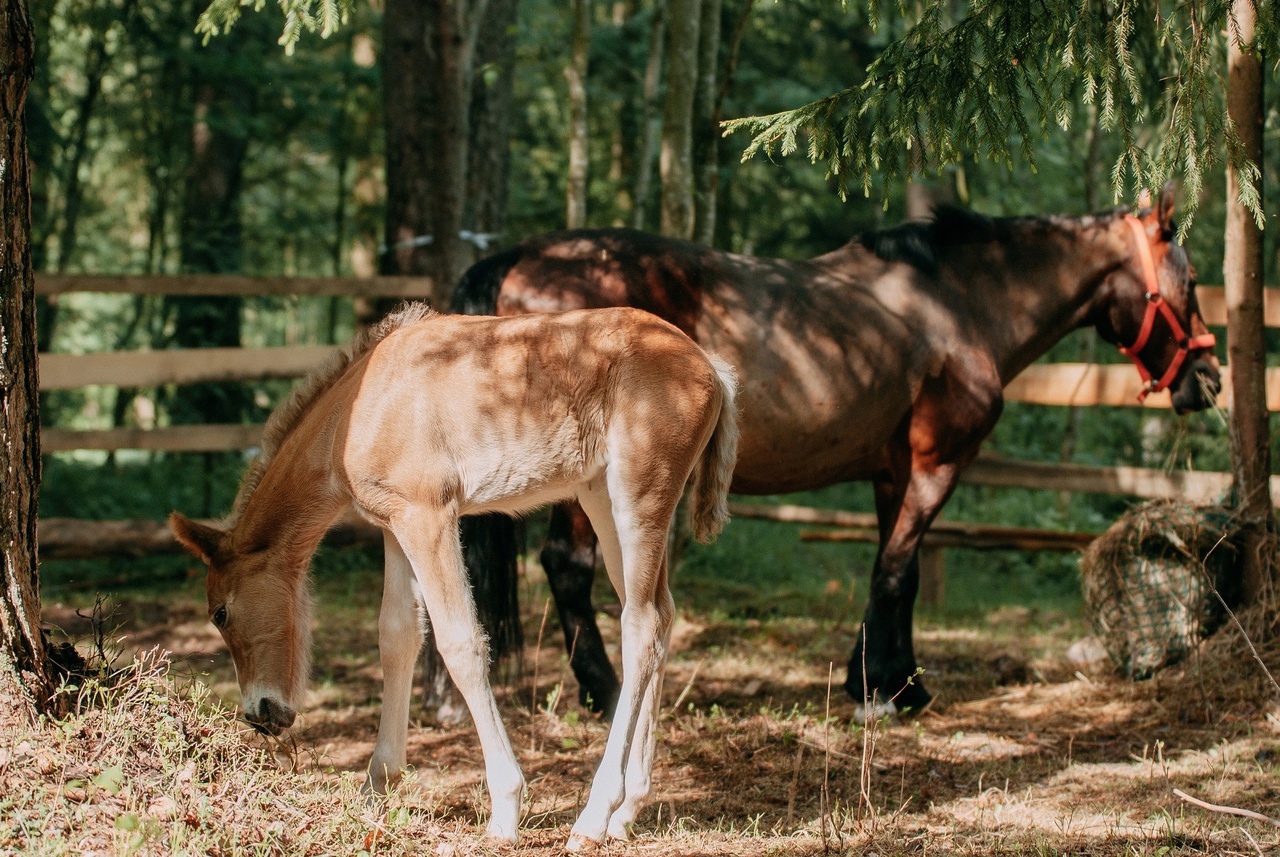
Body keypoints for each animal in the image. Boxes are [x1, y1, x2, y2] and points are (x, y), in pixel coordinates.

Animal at [167, 305, 742, 849]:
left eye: (221, 613)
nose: (260, 714)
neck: (356, 411)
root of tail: (708, 365)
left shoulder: (430, 516)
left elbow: (460, 643)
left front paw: (506, 809)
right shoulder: (394, 525)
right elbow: (398, 638)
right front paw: (376, 788)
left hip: (639, 497)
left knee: (641, 625)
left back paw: (594, 818)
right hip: (600, 499)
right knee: (660, 616)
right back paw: (626, 813)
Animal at [448, 184, 1218, 721]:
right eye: (1190, 281)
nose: (1208, 377)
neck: (956, 303)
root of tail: (518, 258)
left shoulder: (891, 473)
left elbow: (898, 569)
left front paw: (893, 680)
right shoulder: (937, 464)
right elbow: (897, 570)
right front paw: (883, 690)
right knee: (567, 566)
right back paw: (605, 692)